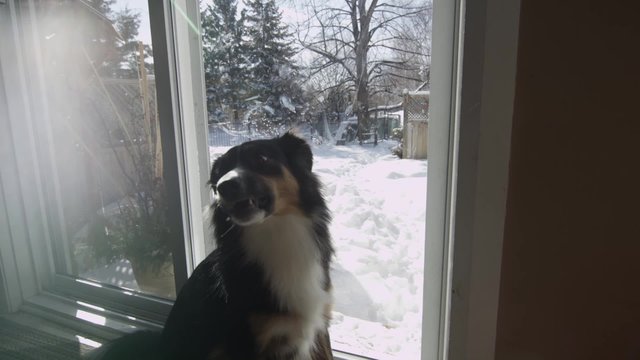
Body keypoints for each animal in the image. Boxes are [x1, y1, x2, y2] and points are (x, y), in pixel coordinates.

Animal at [96, 134, 336, 360]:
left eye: (261, 157)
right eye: (220, 172)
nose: (224, 186)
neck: (275, 232)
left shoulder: (319, 324)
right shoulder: (246, 341)